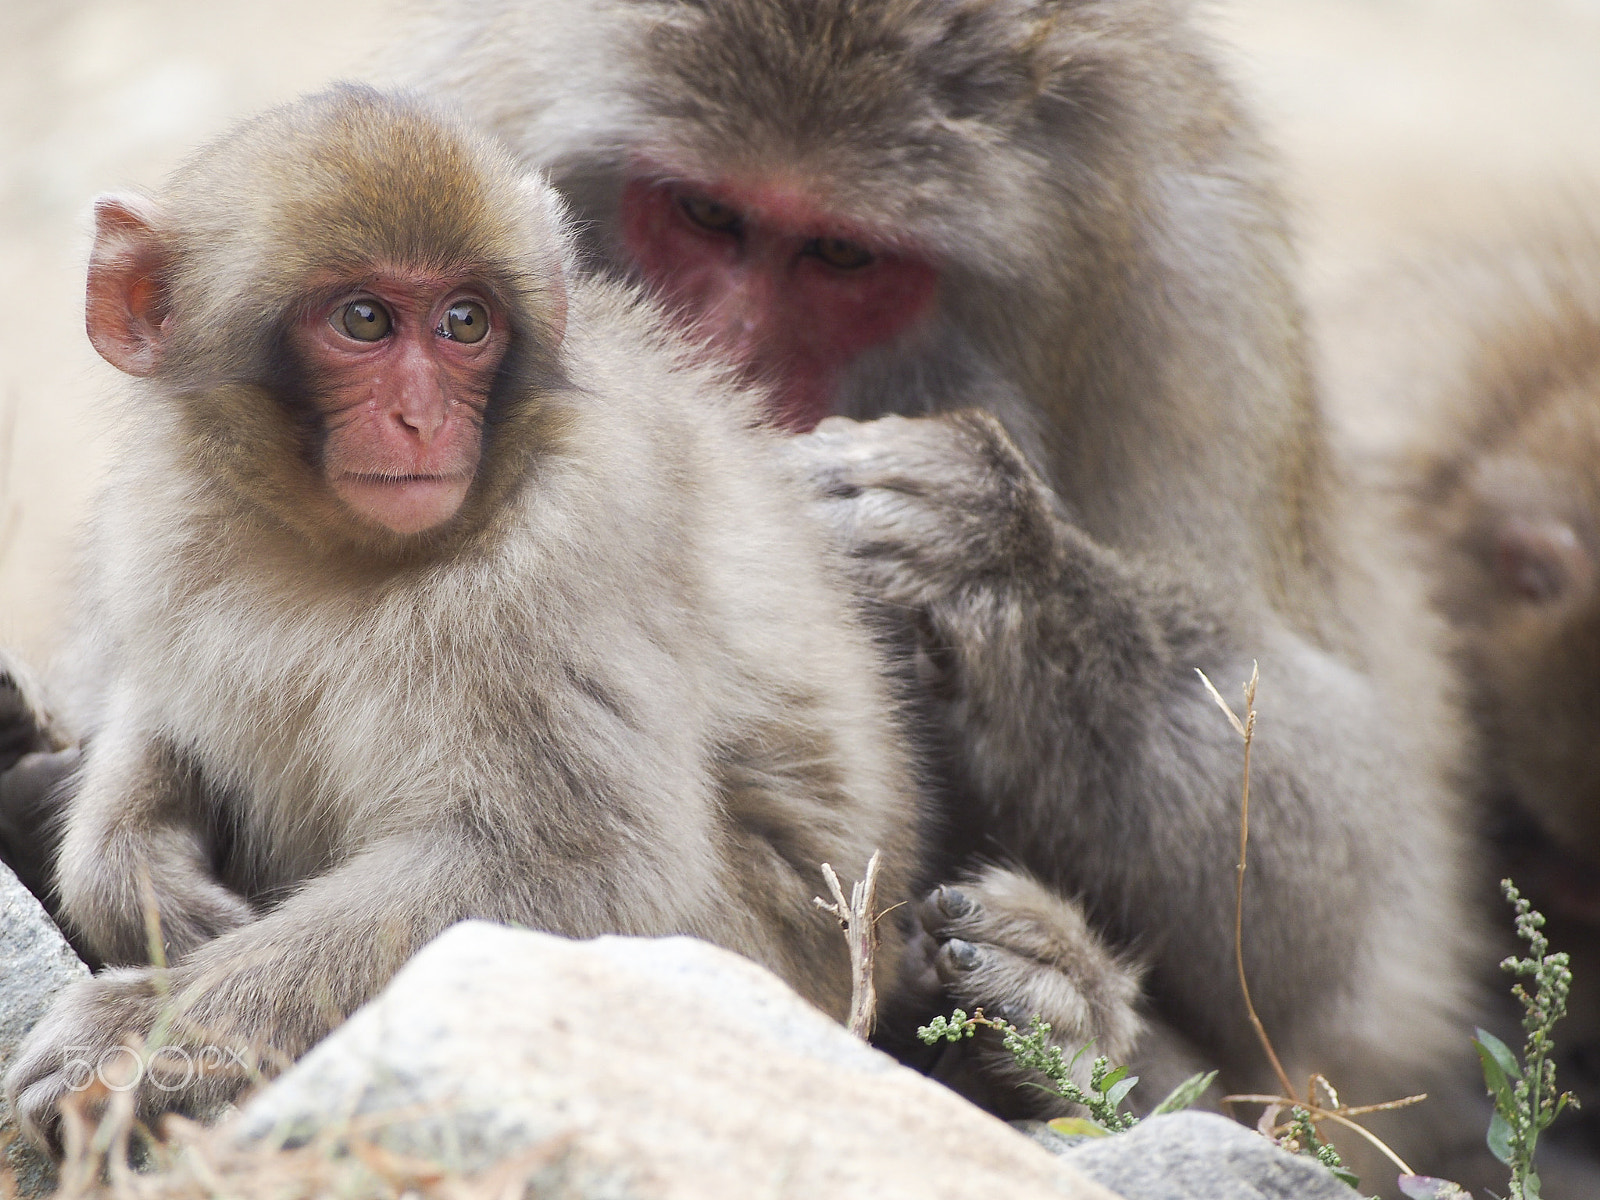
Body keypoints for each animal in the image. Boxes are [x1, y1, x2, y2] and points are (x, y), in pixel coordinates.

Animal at [1, 83, 920, 1150]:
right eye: (364, 319)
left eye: (466, 322)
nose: (424, 420)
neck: (337, 548)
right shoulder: (161, 522)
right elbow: (165, 711)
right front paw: (133, 880)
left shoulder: (564, 556)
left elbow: (581, 874)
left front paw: (135, 1034)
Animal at [387, 0, 1504, 1184]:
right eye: (705, 214)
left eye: (840, 254)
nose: (718, 370)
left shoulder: (1183, 300)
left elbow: (1328, 896)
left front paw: (983, 550)